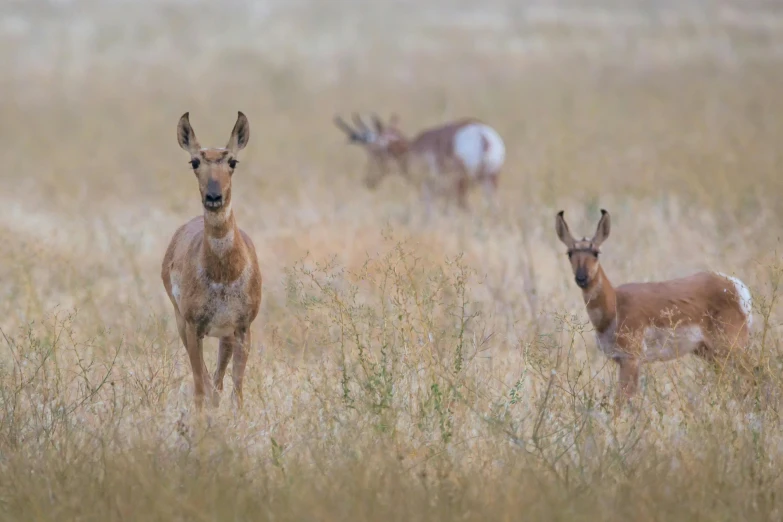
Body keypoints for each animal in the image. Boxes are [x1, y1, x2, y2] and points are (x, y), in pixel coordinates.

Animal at [161, 110, 262, 410]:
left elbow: (236, 389)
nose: (213, 196)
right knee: (206, 381)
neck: (223, 276)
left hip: (223, 335)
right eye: (195, 161)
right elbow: (199, 387)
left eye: (233, 161)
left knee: (217, 382)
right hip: (183, 324)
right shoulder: (193, 327)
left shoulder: (242, 328)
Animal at [332, 112, 506, 214]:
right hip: (490, 181)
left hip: (461, 187)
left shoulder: (426, 190)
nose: (368, 181)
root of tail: (481, 134)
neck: (412, 148)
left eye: (375, 152)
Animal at [556, 207, 752, 410]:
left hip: (732, 348)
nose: (581, 278)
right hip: (710, 353)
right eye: (569, 253)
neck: (615, 304)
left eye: (596, 252)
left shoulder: (631, 360)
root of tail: (734, 285)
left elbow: (622, 401)